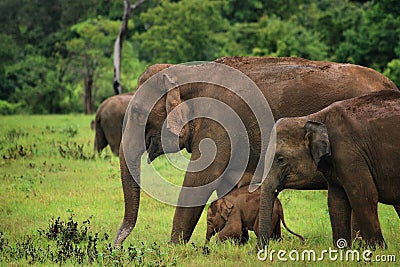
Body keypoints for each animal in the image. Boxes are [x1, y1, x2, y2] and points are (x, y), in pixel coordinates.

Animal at [258, 90, 400, 251]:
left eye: (280, 160)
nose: (253, 251)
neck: (313, 118)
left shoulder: (349, 154)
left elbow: (364, 195)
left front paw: (378, 250)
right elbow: (336, 201)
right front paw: (342, 250)